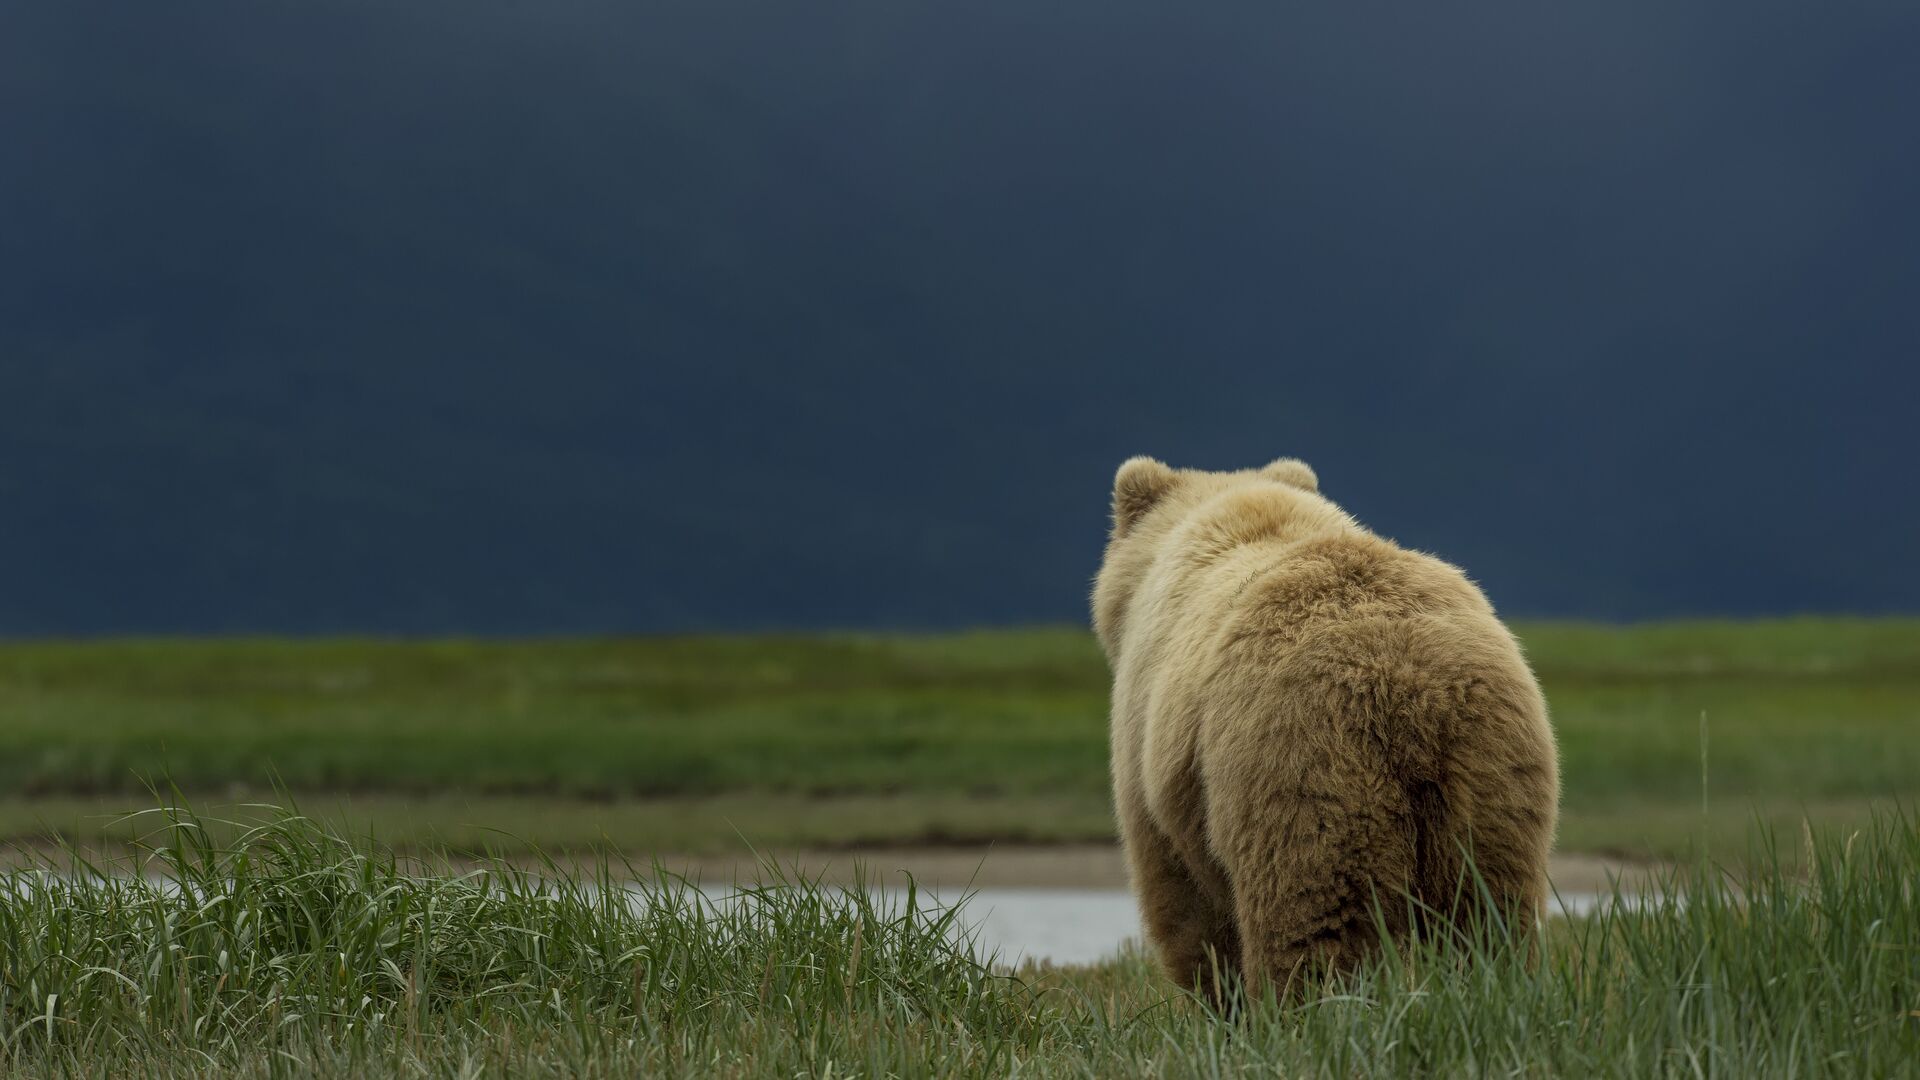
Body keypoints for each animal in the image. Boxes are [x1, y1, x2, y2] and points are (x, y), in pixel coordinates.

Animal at [1098, 453, 1559, 999]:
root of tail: (1412, 688)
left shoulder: (1150, 749)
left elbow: (1184, 903)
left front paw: (1218, 999)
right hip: (1492, 775)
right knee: (1487, 912)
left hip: (1304, 764)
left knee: (1314, 918)